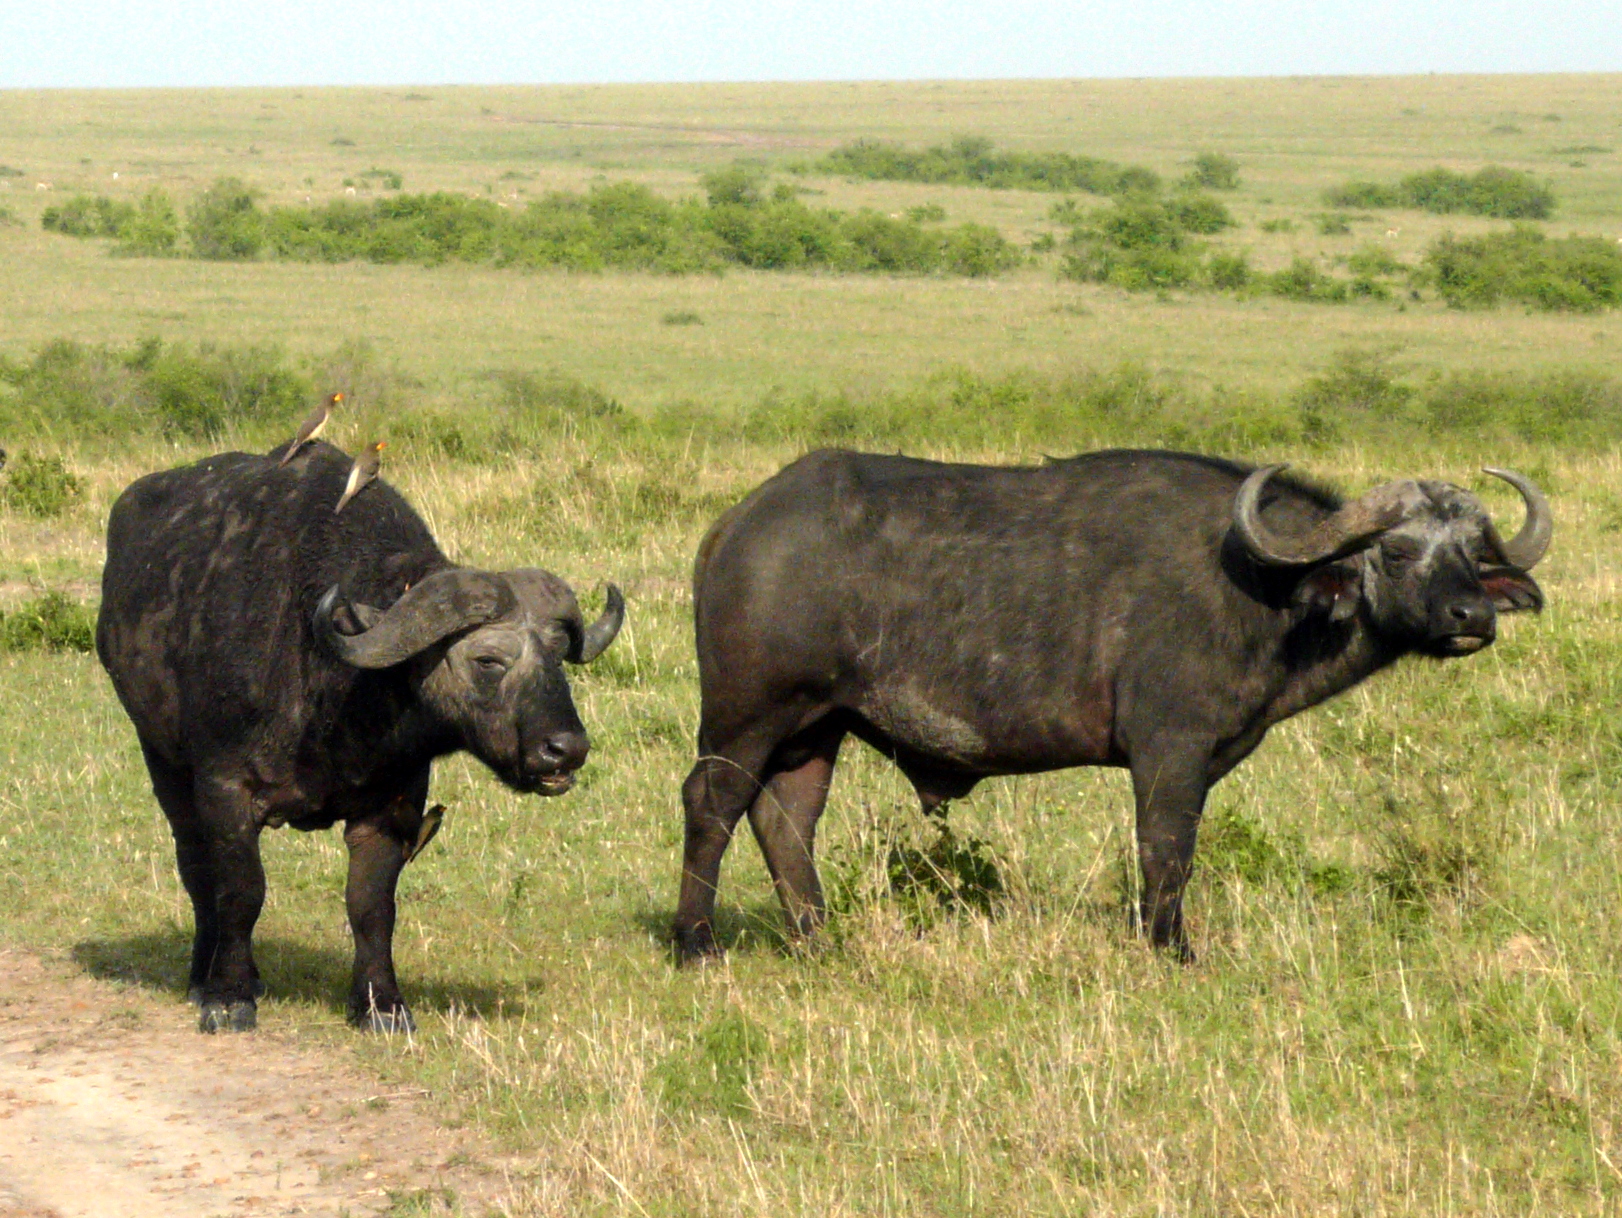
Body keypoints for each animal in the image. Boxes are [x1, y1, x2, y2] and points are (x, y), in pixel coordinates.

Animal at [96, 437, 626, 1031]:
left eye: (559, 656)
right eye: (488, 660)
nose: (566, 749)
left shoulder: (392, 805)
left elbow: (371, 905)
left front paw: (382, 1003)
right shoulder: (224, 788)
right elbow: (240, 890)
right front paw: (228, 995)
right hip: (162, 760)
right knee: (195, 867)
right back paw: (203, 974)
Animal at [668, 447, 1544, 960]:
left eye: (1473, 554)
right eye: (1395, 551)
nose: (1472, 616)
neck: (1265, 590)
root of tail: (738, 525)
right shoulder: (1169, 750)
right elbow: (1167, 849)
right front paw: (1169, 947)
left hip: (816, 728)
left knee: (785, 819)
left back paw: (819, 941)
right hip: (748, 716)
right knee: (711, 804)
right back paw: (695, 942)